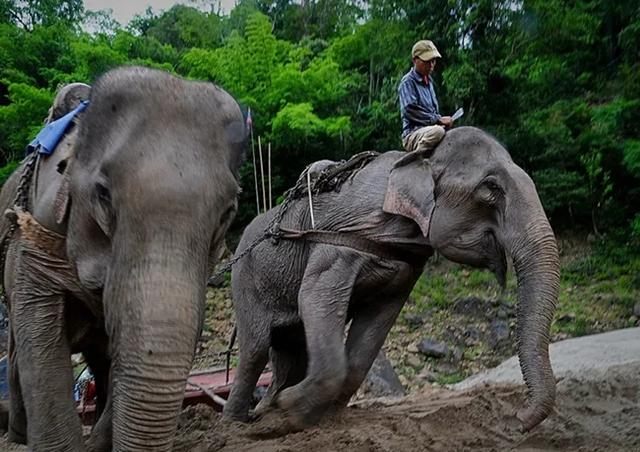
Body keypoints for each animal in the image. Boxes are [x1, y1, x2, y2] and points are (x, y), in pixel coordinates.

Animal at [0, 65, 245, 450]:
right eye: (102, 194)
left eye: (228, 212)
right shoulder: (35, 235)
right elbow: (40, 335)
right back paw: (19, 435)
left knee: (99, 358)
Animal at [221, 125, 560, 432]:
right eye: (491, 188)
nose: (514, 421)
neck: (420, 159)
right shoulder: (343, 239)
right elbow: (314, 298)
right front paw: (290, 412)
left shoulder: (405, 268)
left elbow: (375, 326)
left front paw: (319, 419)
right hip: (245, 280)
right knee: (256, 349)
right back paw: (236, 424)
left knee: (291, 349)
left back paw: (264, 411)